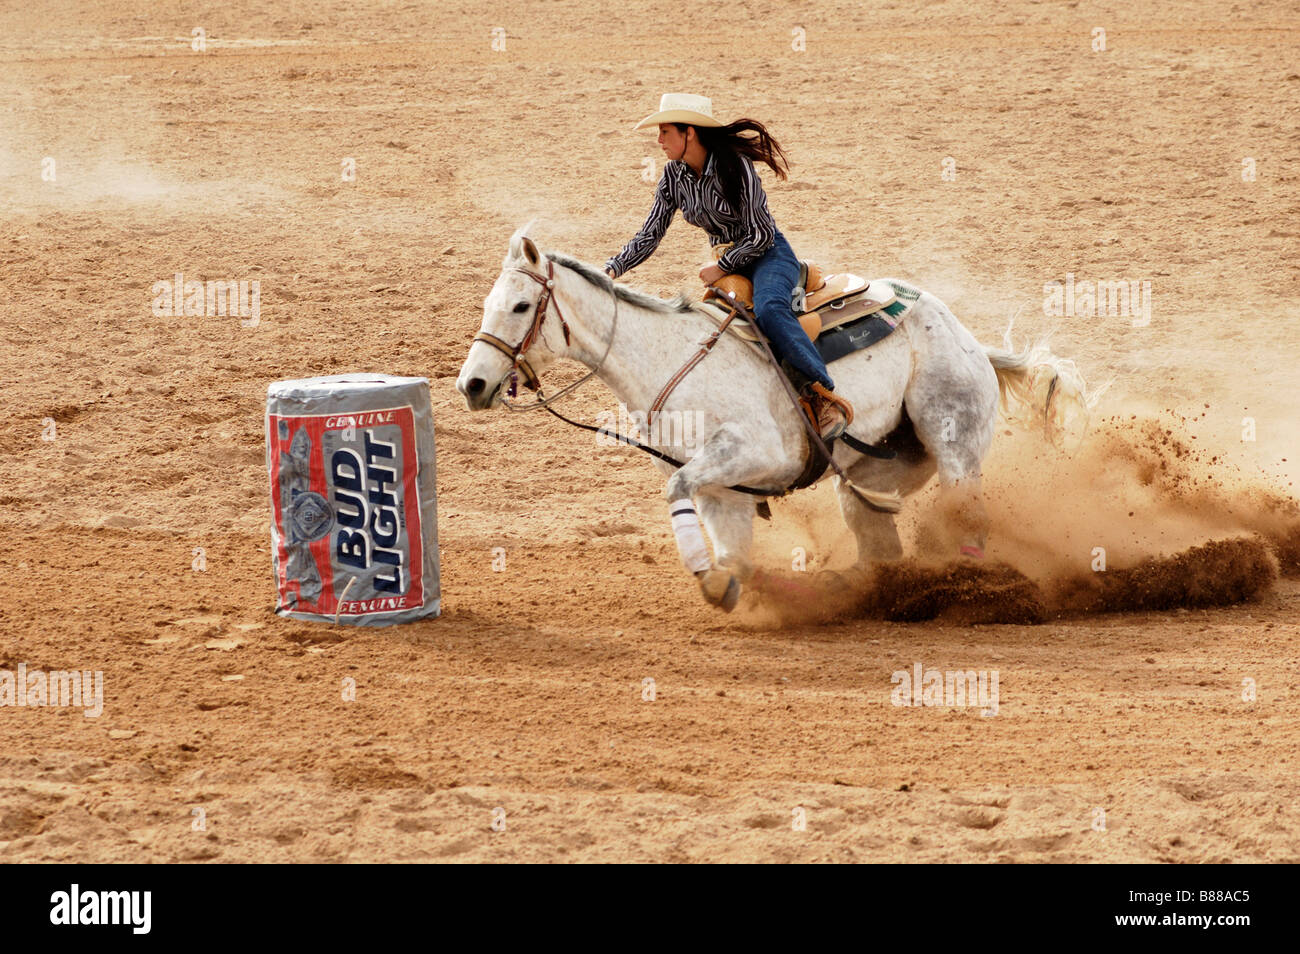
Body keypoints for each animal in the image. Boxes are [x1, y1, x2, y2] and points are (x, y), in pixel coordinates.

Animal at [457, 224, 1097, 613]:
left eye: (521, 305)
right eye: (488, 303)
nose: (472, 384)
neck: (667, 358)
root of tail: (970, 341)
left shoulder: (756, 453)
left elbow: (676, 489)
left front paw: (714, 580)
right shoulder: (725, 490)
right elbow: (731, 551)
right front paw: (729, 585)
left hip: (955, 445)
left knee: (969, 521)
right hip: (870, 480)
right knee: (879, 539)